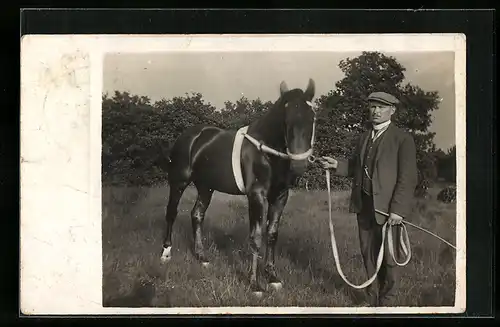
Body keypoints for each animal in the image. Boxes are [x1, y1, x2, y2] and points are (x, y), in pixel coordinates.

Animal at [160, 77, 316, 298]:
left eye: (312, 117)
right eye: (285, 120)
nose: (299, 165)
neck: (265, 151)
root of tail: (191, 136)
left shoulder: (280, 196)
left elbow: (272, 234)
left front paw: (272, 277)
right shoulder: (256, 195)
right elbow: (256, 237)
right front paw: (255, 285)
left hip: (206, 187)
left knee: (197, 214)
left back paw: (202, 257)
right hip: (178, 181)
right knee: (171, 212)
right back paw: (166, 252)